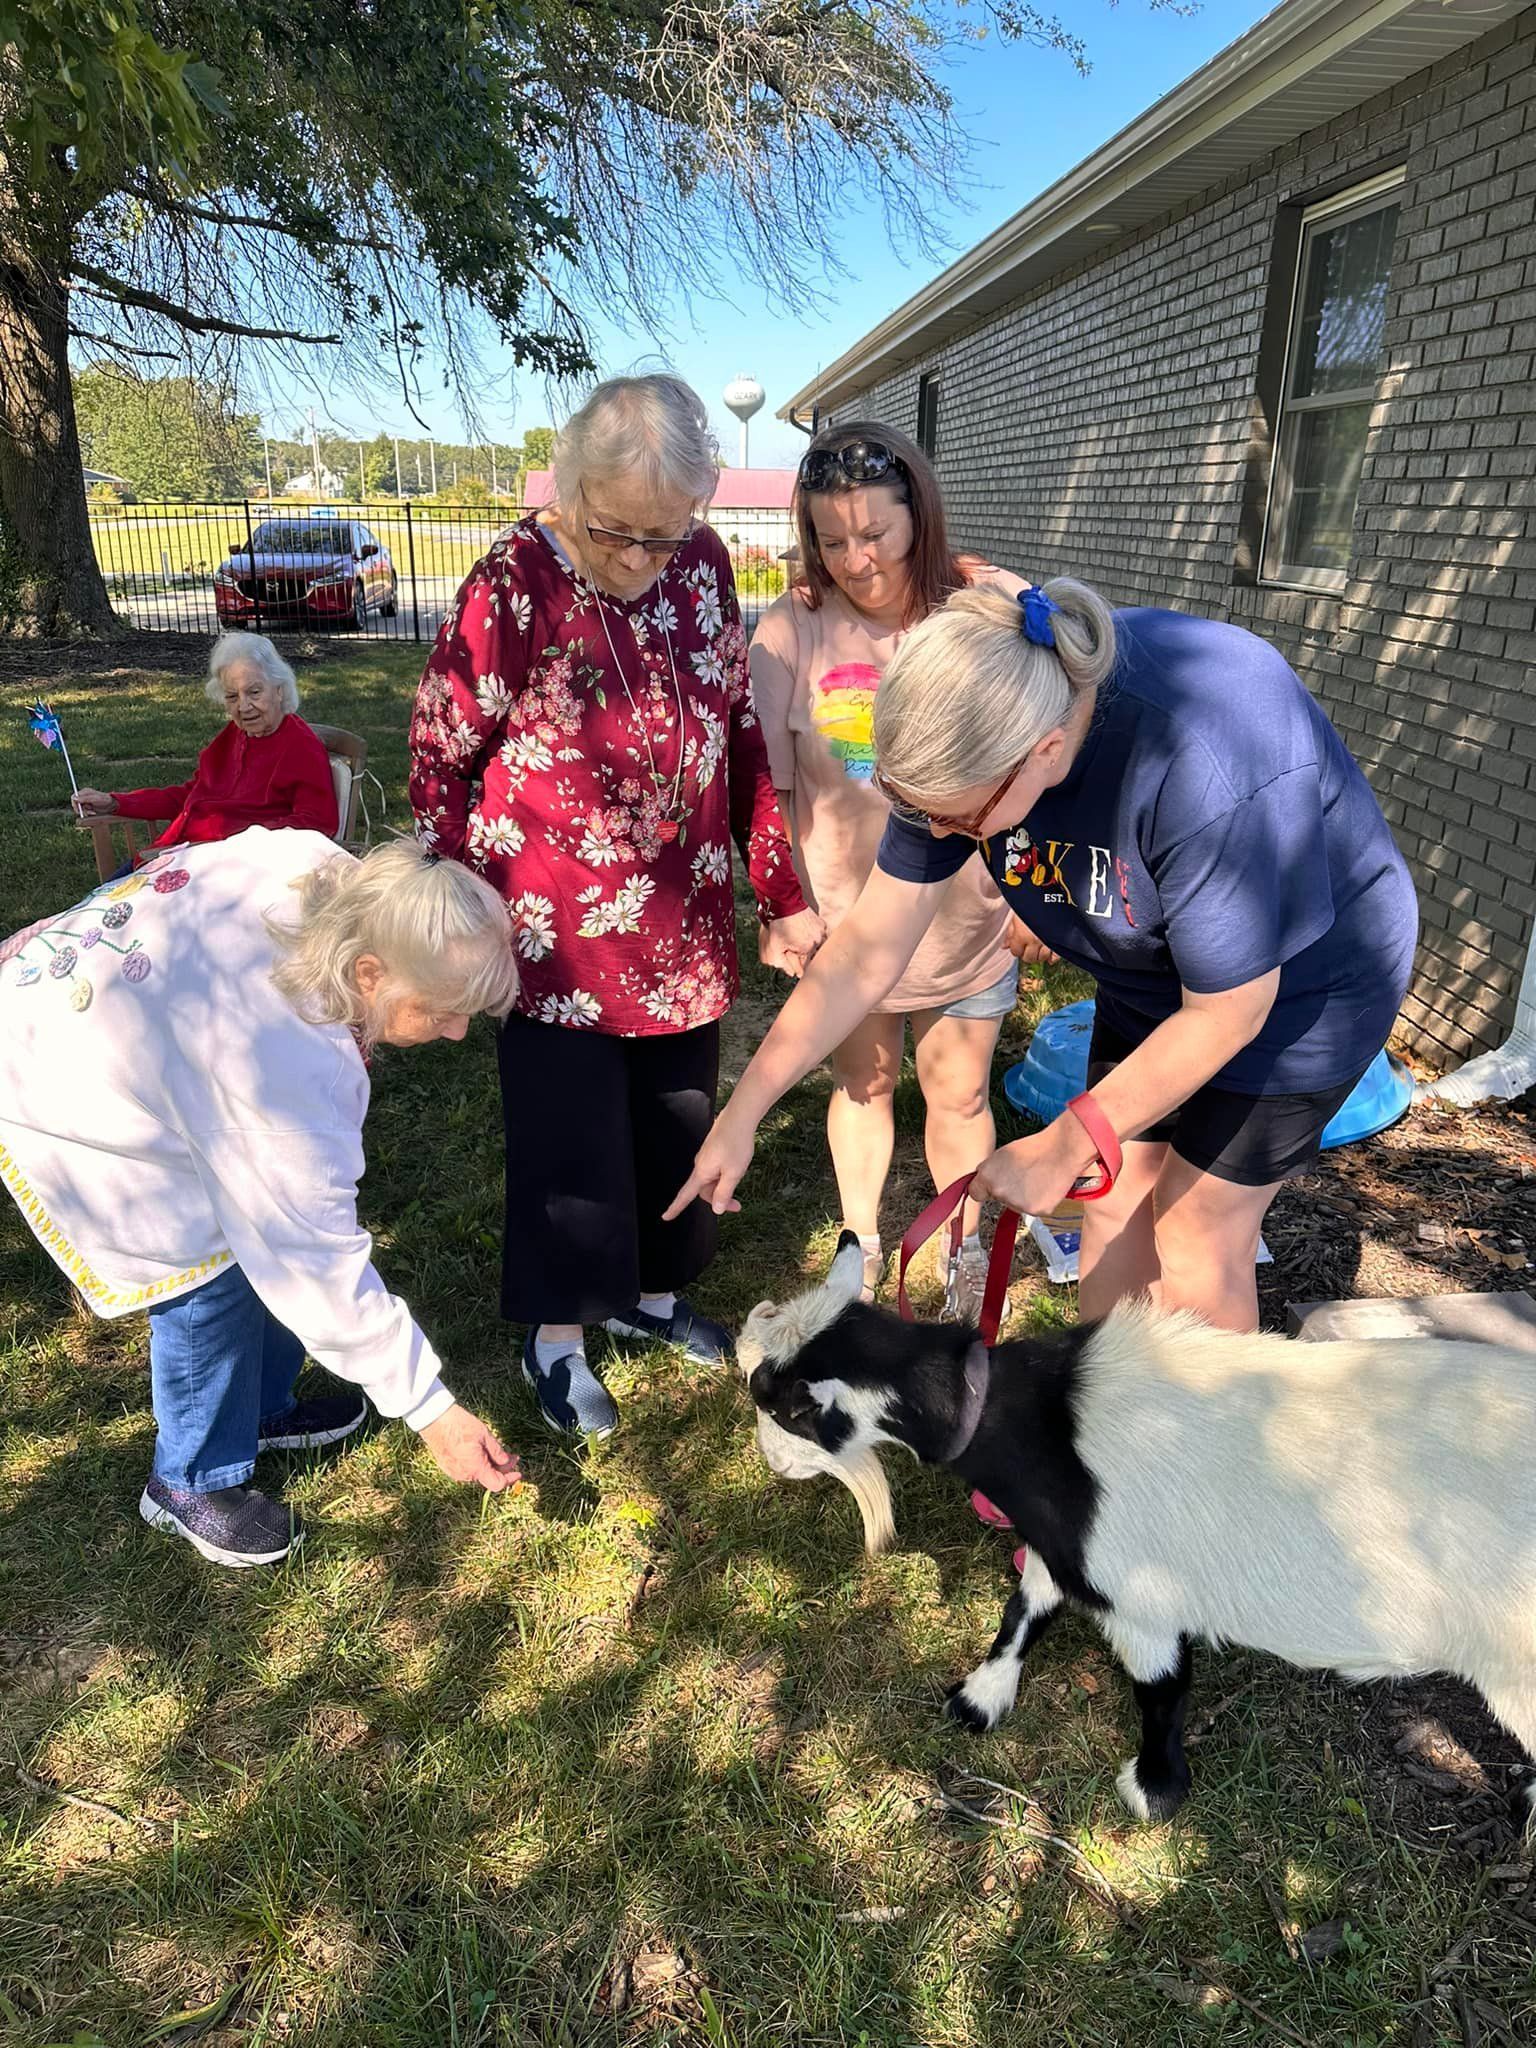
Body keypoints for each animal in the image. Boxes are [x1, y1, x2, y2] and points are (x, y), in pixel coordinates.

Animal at [740, 1234, 1536, 1825]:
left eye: (782, 1409)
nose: (770, 1463)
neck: (1045, 1428)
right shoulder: (1063, 1545)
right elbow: (1024, 1609)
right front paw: (982, 1696)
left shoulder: (1140, 1594)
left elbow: (1160, 1691)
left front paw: (1155, 1789)